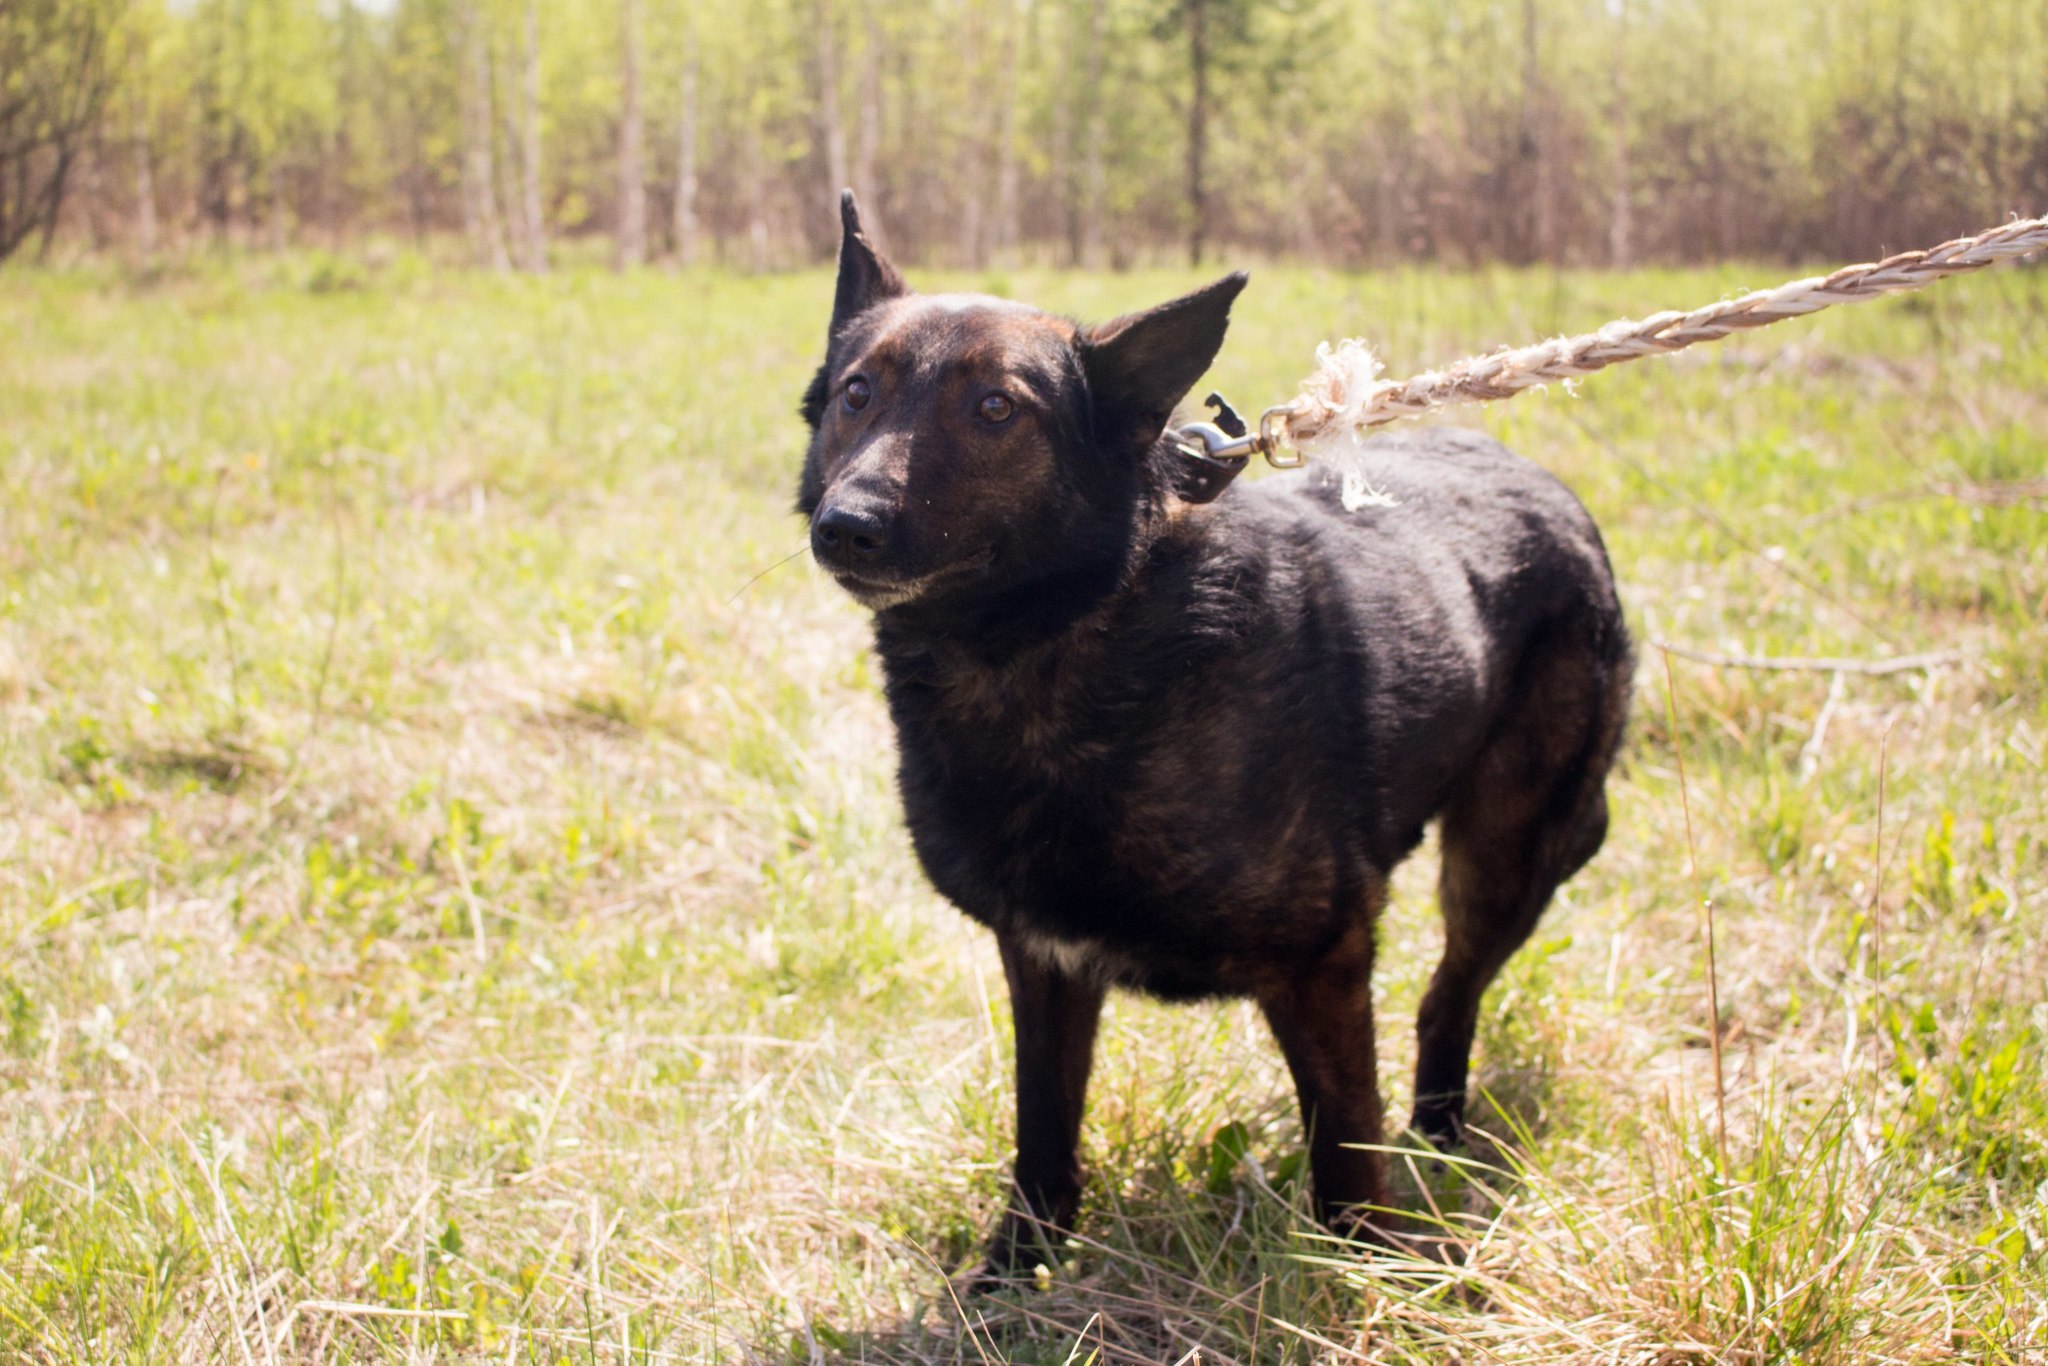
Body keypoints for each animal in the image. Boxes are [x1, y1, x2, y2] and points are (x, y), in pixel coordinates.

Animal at [798, 192, 1630, 1269]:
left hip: (1504, 857)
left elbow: (1344, 1151)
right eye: (858, 394)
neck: (1064, 644)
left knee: (1447, 997)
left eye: (994, 411)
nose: (843, 527)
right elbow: (1042, 1124)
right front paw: (1019, 1267)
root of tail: (1544, 483)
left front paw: (1365, 1274)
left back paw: (1438, 1139)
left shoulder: (1322, 963)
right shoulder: (1043, 960)